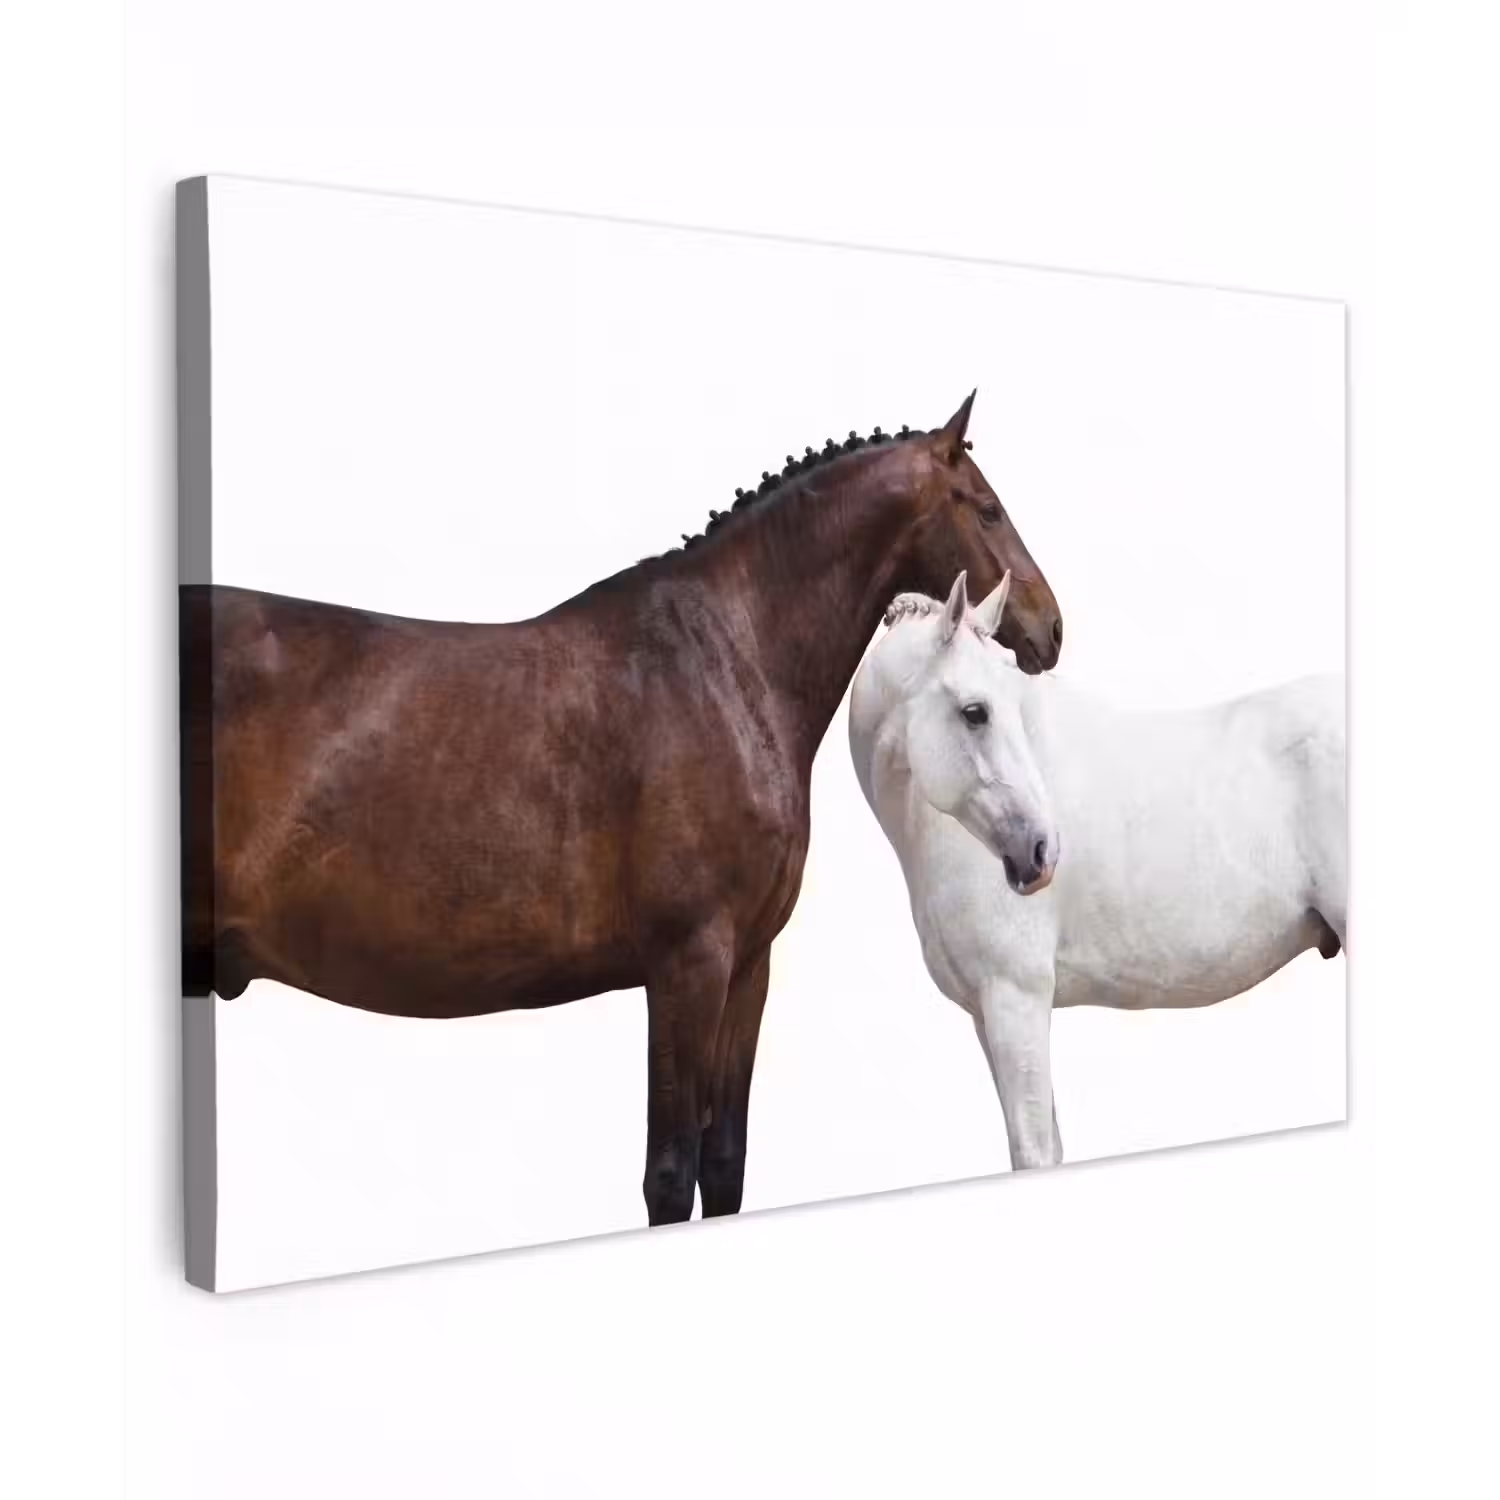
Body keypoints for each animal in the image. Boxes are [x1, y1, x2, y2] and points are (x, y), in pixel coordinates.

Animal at [179, 393, 1064, 1226]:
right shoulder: (686, 961)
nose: (1051, 628)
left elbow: (724, 1163)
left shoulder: (747, 965)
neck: (726, 665)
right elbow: (670, 1174)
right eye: (986, 506)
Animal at [847, 572, 1345, 1172]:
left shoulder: (1016, 997)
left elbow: (1035, 1152)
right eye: (976, 711)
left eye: (998, 706)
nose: (1041, 851)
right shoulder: (987, 1013)